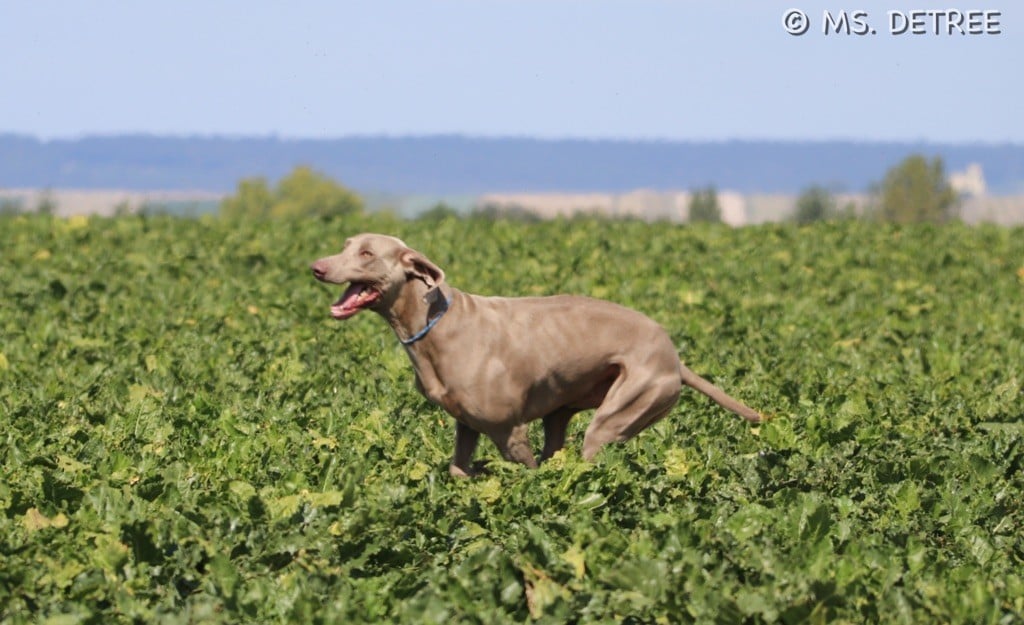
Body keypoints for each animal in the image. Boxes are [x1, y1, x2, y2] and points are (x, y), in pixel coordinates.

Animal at [309, 232, 761, 471]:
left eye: (367, 253)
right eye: (346, 244)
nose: (316, 266)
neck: (432, 322)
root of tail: (675, 358)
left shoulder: (509, 431)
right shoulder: (467, 427)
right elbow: (458, 470)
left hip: (622, 409)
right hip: (563, 410)